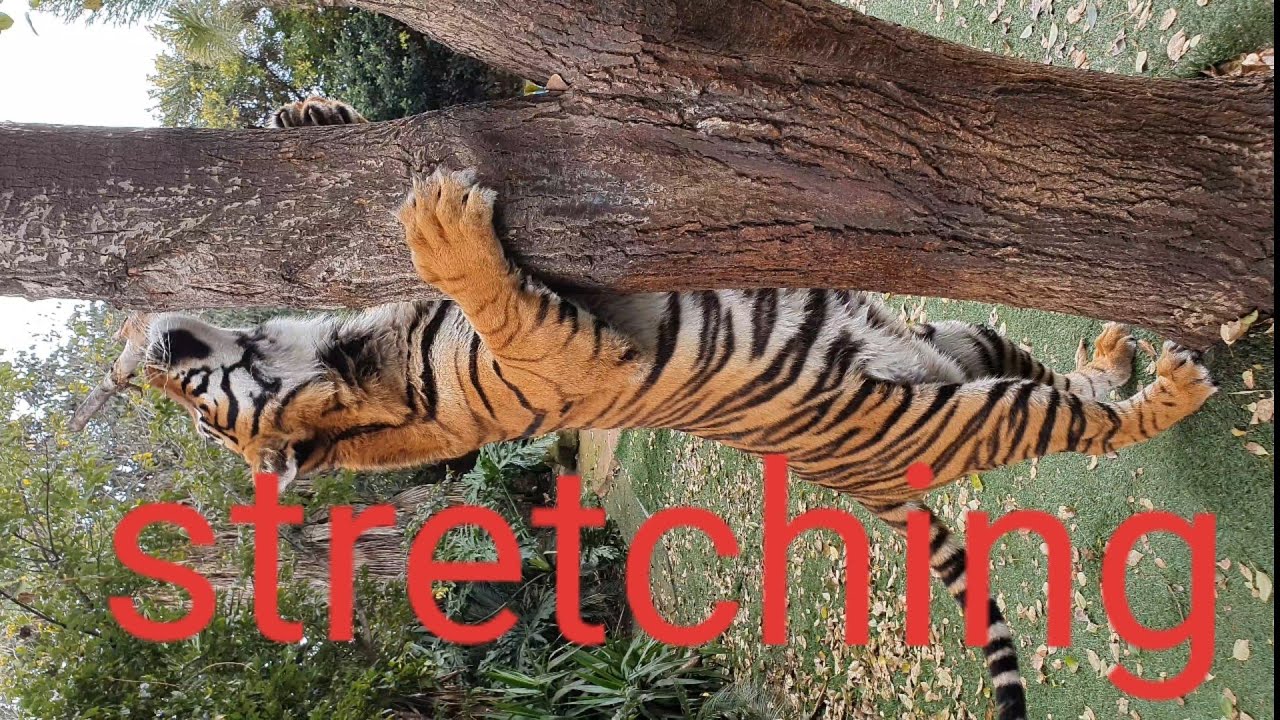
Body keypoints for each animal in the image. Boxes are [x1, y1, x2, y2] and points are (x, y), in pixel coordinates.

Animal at [112, 96, 1216, 720]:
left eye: (194, 407)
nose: (146, 352)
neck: (356, 360)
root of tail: (861, 482)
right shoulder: (563, 352)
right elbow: (496, 299)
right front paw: (437, 226)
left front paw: (307, 118)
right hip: (968, 405)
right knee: (1085, 424)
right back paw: (1172, 386)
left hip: (953, 341)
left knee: (1053, 373)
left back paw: (1111, 350)